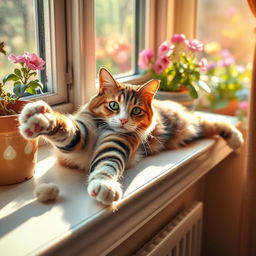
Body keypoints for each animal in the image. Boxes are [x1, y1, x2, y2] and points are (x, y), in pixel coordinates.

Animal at [18, 68, 244, 206]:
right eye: (113, 105)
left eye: (136, 110)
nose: (124, 120)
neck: (103, 130)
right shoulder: (81, 134)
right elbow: (63, 128)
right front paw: (40, 118)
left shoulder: (117, 143)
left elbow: (107, 165)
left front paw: (105, 185)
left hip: (190, 126)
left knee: (213, 123)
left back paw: (236, 138)